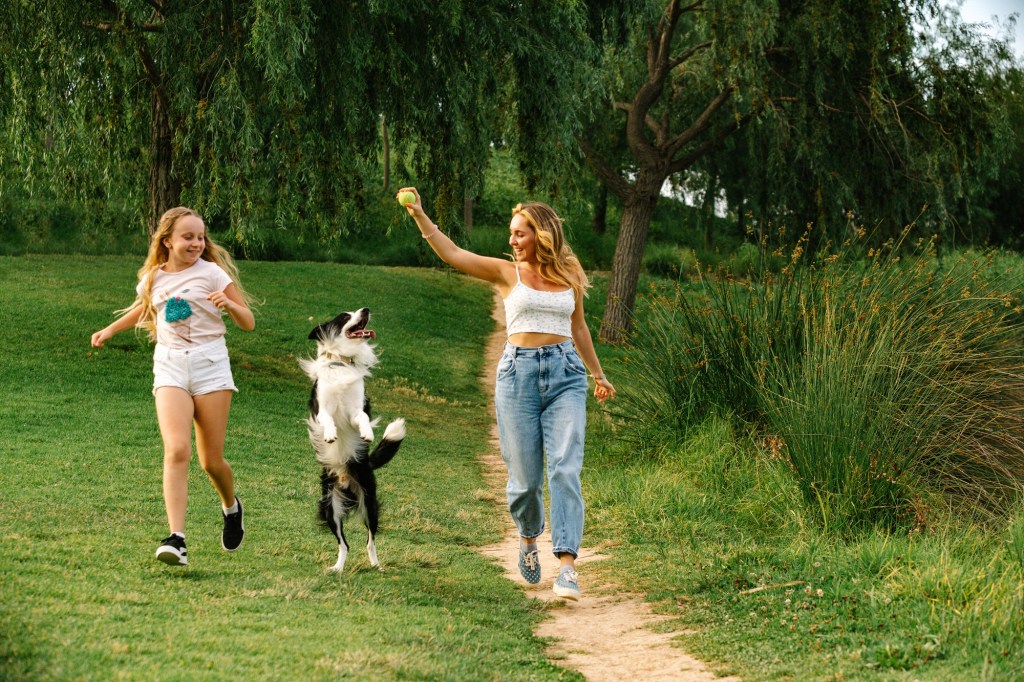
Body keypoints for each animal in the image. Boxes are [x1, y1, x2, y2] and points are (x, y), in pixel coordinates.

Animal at [299, 307, 403, 569]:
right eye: (345, 317)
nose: (366, 309)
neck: (341, 363)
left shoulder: (356, 410)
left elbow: (363, 418)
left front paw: (367, 433)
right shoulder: (321, 409)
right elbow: (327, 419)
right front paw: (330, 434)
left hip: (369, 503)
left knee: (370, 541)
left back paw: (376, 565)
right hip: (331, 508)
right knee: (343, 544)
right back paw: (337, 568)